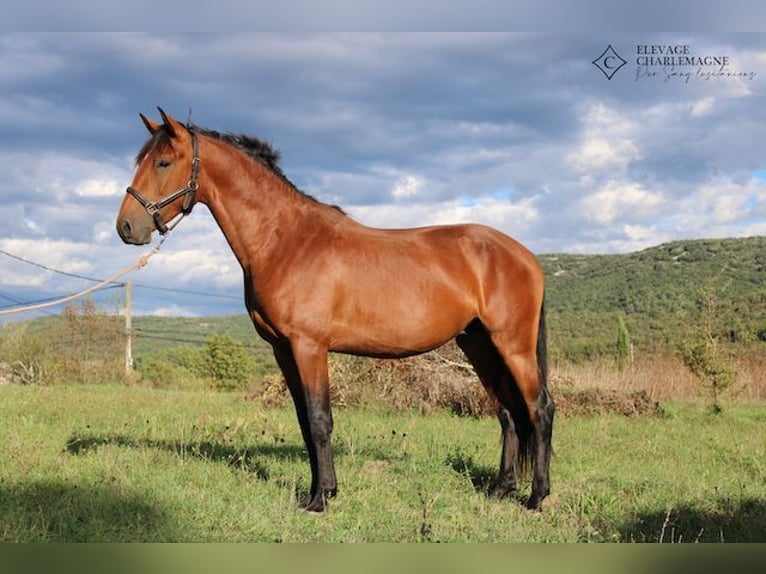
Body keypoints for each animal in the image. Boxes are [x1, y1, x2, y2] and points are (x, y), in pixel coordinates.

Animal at [114, 110, 556, 516]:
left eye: (163, 163)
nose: (126, 227)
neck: (286, 240)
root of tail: (524, 256)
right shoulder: (282, 349)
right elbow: (304, 422)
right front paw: (319, 491)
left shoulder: (309, 346)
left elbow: (319, 418)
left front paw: (321, 499)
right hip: (478, 344)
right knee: (508, 411)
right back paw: (501, 489)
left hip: (512, 345)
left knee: (539, 409)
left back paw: (536, 497)